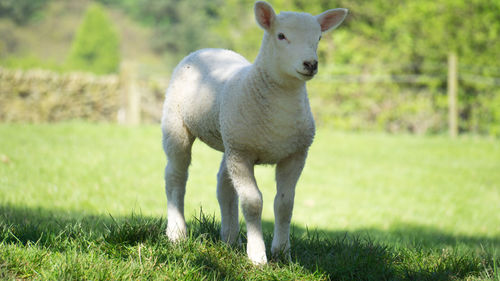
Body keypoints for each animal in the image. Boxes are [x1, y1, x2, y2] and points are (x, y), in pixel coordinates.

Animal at [161, 1, 348, 264]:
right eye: (281, 36)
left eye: (319, 37)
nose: (310, 64)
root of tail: (209, 49)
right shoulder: (243, 154)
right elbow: (252, 202)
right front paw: (257, 256)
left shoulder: (294, 155)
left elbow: (285, 204)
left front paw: (282, 253)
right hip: (178, 124)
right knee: (175, 177)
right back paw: (177, 233)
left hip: (230, 138)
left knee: (224, 186)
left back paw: (230, 239)